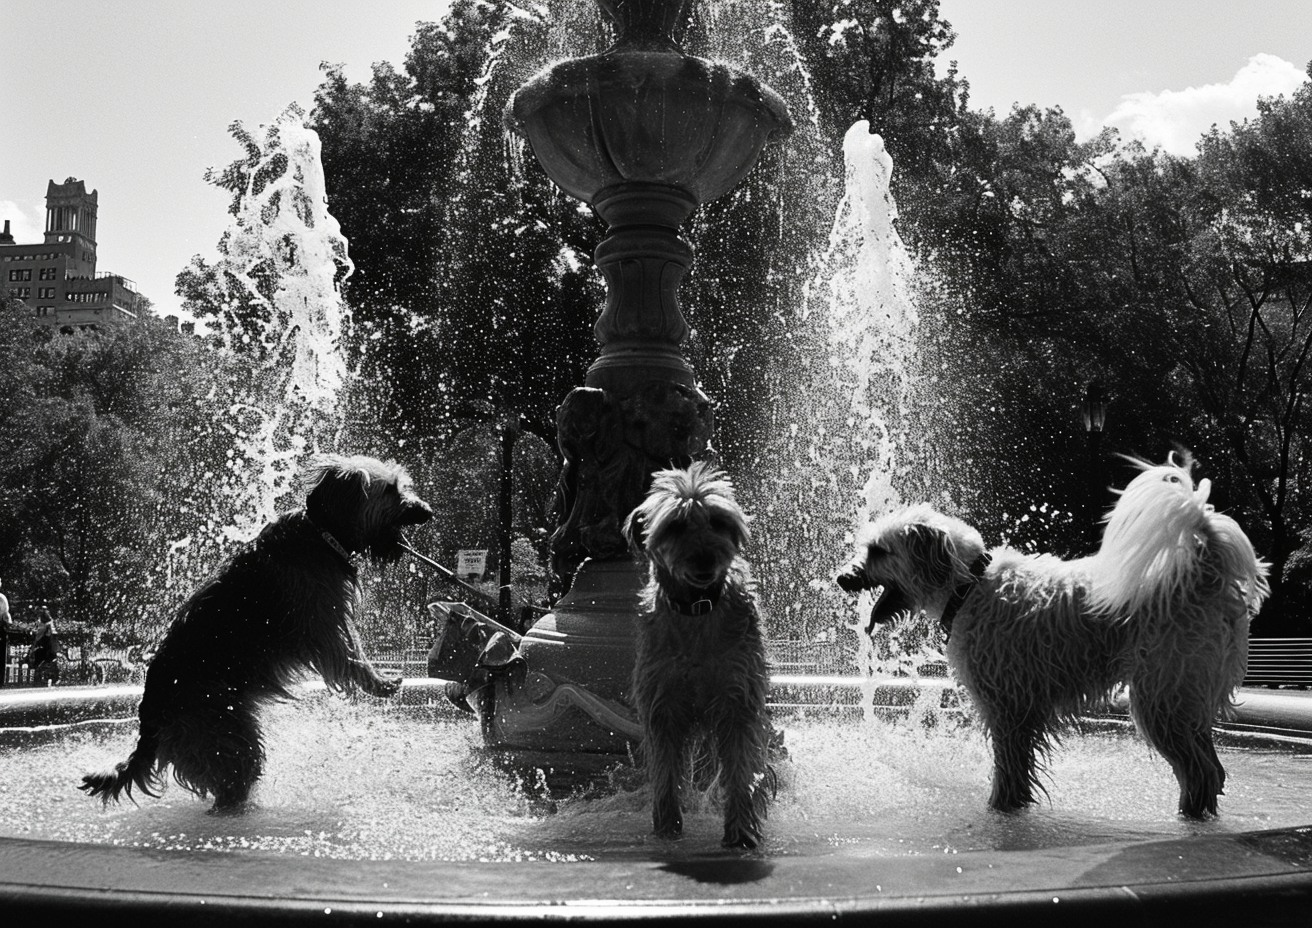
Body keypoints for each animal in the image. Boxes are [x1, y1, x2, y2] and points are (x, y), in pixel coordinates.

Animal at [79, 456, 430, 813]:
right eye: (391, 489)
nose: (427, 511)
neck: (322, 532)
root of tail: (150, 714)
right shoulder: (322, 625)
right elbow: (351, 657)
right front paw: (381, 683)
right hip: (225, 733)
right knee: (232, 784)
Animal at [621, 462, 771, 850]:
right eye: (675, 525)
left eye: (718, 521)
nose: (706, 558)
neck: (697, 609)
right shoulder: (662, 703)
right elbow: (665, 770)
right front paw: (666, 827)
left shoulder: (738, 699)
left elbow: (741, 770)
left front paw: (741, 830)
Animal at [834, 454, 1264, 819]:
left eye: (878, 550)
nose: (841, 578)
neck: (969, 585)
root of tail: (1205, 568)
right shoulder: (1021, 708)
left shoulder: (1007, 707)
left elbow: (1008, 771)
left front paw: (1000, 812)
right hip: (1186, 698)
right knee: (1212, 768)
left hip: (1161, 697)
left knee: (1199, 771)